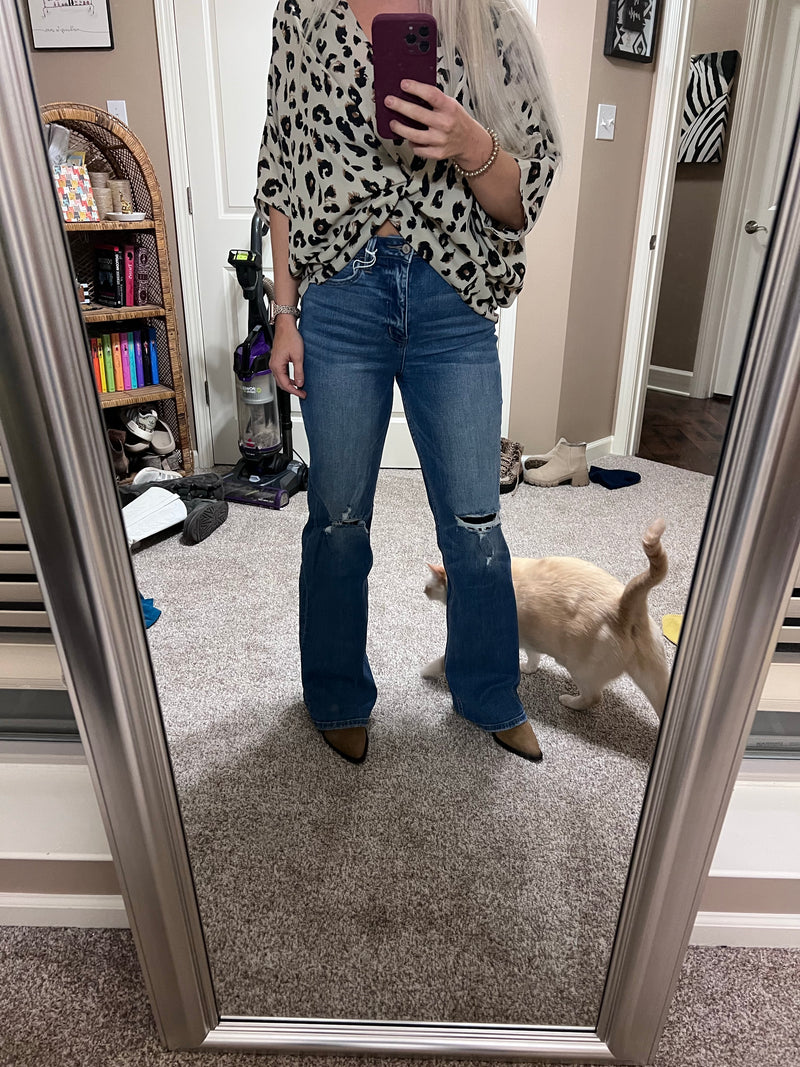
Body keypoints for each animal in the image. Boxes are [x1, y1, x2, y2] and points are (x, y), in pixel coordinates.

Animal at [422, 519, 670, 719]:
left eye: (427, 586)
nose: (423, 591)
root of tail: (622, 605)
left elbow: (442, 662)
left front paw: (425, 671)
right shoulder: (529, 640)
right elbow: (533, 658)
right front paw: (527, 669)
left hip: (579, 669)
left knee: (593, 697)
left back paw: (569, 701)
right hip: (655, 677)